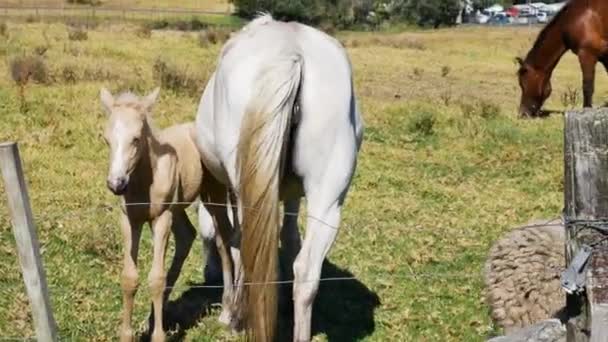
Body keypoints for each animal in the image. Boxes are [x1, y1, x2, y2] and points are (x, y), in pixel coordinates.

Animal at [100, 88, 233, 342]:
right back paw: (152, 318)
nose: (116, 184)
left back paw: (228, 311)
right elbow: (129, 278)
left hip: (213, 196)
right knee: (187, 236)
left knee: (224, 239)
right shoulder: (129, 220)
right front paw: (128, 334)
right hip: (177, 208)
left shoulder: (161, 219)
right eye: (106, 139)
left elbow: (156, 279)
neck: (144, 182)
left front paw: (158, 336)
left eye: (136, 138)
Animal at [195, 14, 364, 342]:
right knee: (307, 271)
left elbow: (226, 241)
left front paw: (228, 311)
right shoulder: (292, 194)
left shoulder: (228, 190)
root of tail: (290, 50)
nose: (207, 273)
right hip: (329, 201)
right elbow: (290, 236)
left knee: (244, 247)